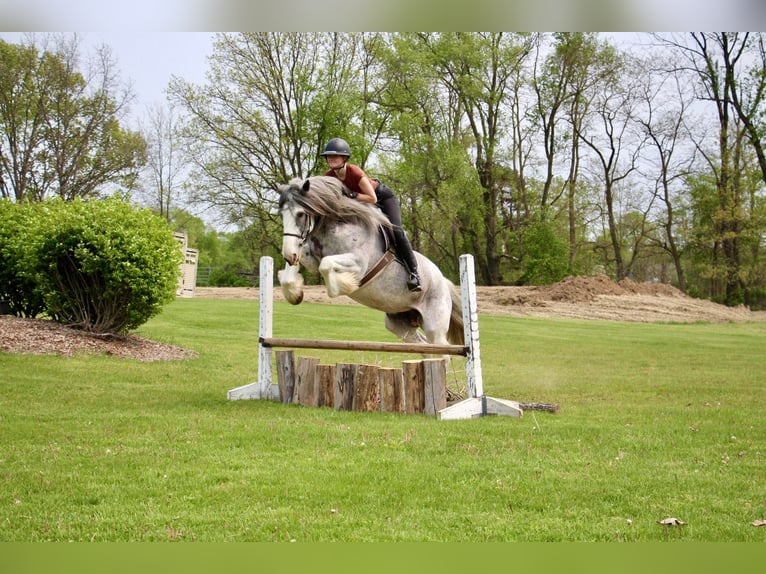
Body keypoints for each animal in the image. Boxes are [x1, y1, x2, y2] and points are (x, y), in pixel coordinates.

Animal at [280, 176, 464, 346]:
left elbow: (326, 266)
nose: (288, 254)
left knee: (441, 349)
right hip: (399, 323)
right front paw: (295, 294)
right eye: (282, 215)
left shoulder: (358, 264)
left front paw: (345, 285)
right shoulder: (311, 258)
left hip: (435, 323)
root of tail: (444, 282)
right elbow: (292, 273)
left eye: (300, 214)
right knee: (423, 345)